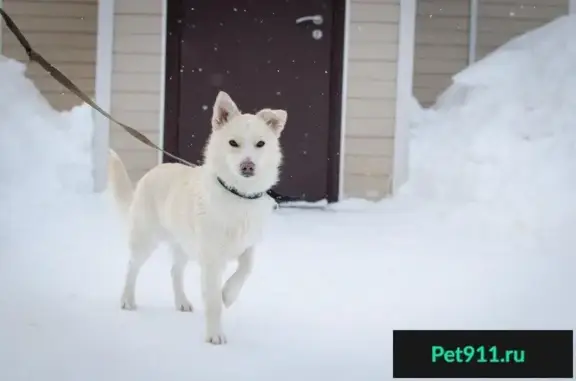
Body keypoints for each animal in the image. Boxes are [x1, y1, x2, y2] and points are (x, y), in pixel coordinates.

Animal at [107, 90, 286, 342]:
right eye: (233, 143)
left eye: (260, 144)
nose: (248, 166)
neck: (237, 194)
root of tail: (150, 173)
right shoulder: (211, 258)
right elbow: (213, 301)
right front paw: (214, 336)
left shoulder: (248, 244)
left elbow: (246, 268)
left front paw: (228, 294)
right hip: (146, 238)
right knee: (132, 266)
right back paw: (127, 299)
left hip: (184, 244)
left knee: (175, 271)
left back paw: (182, 302)